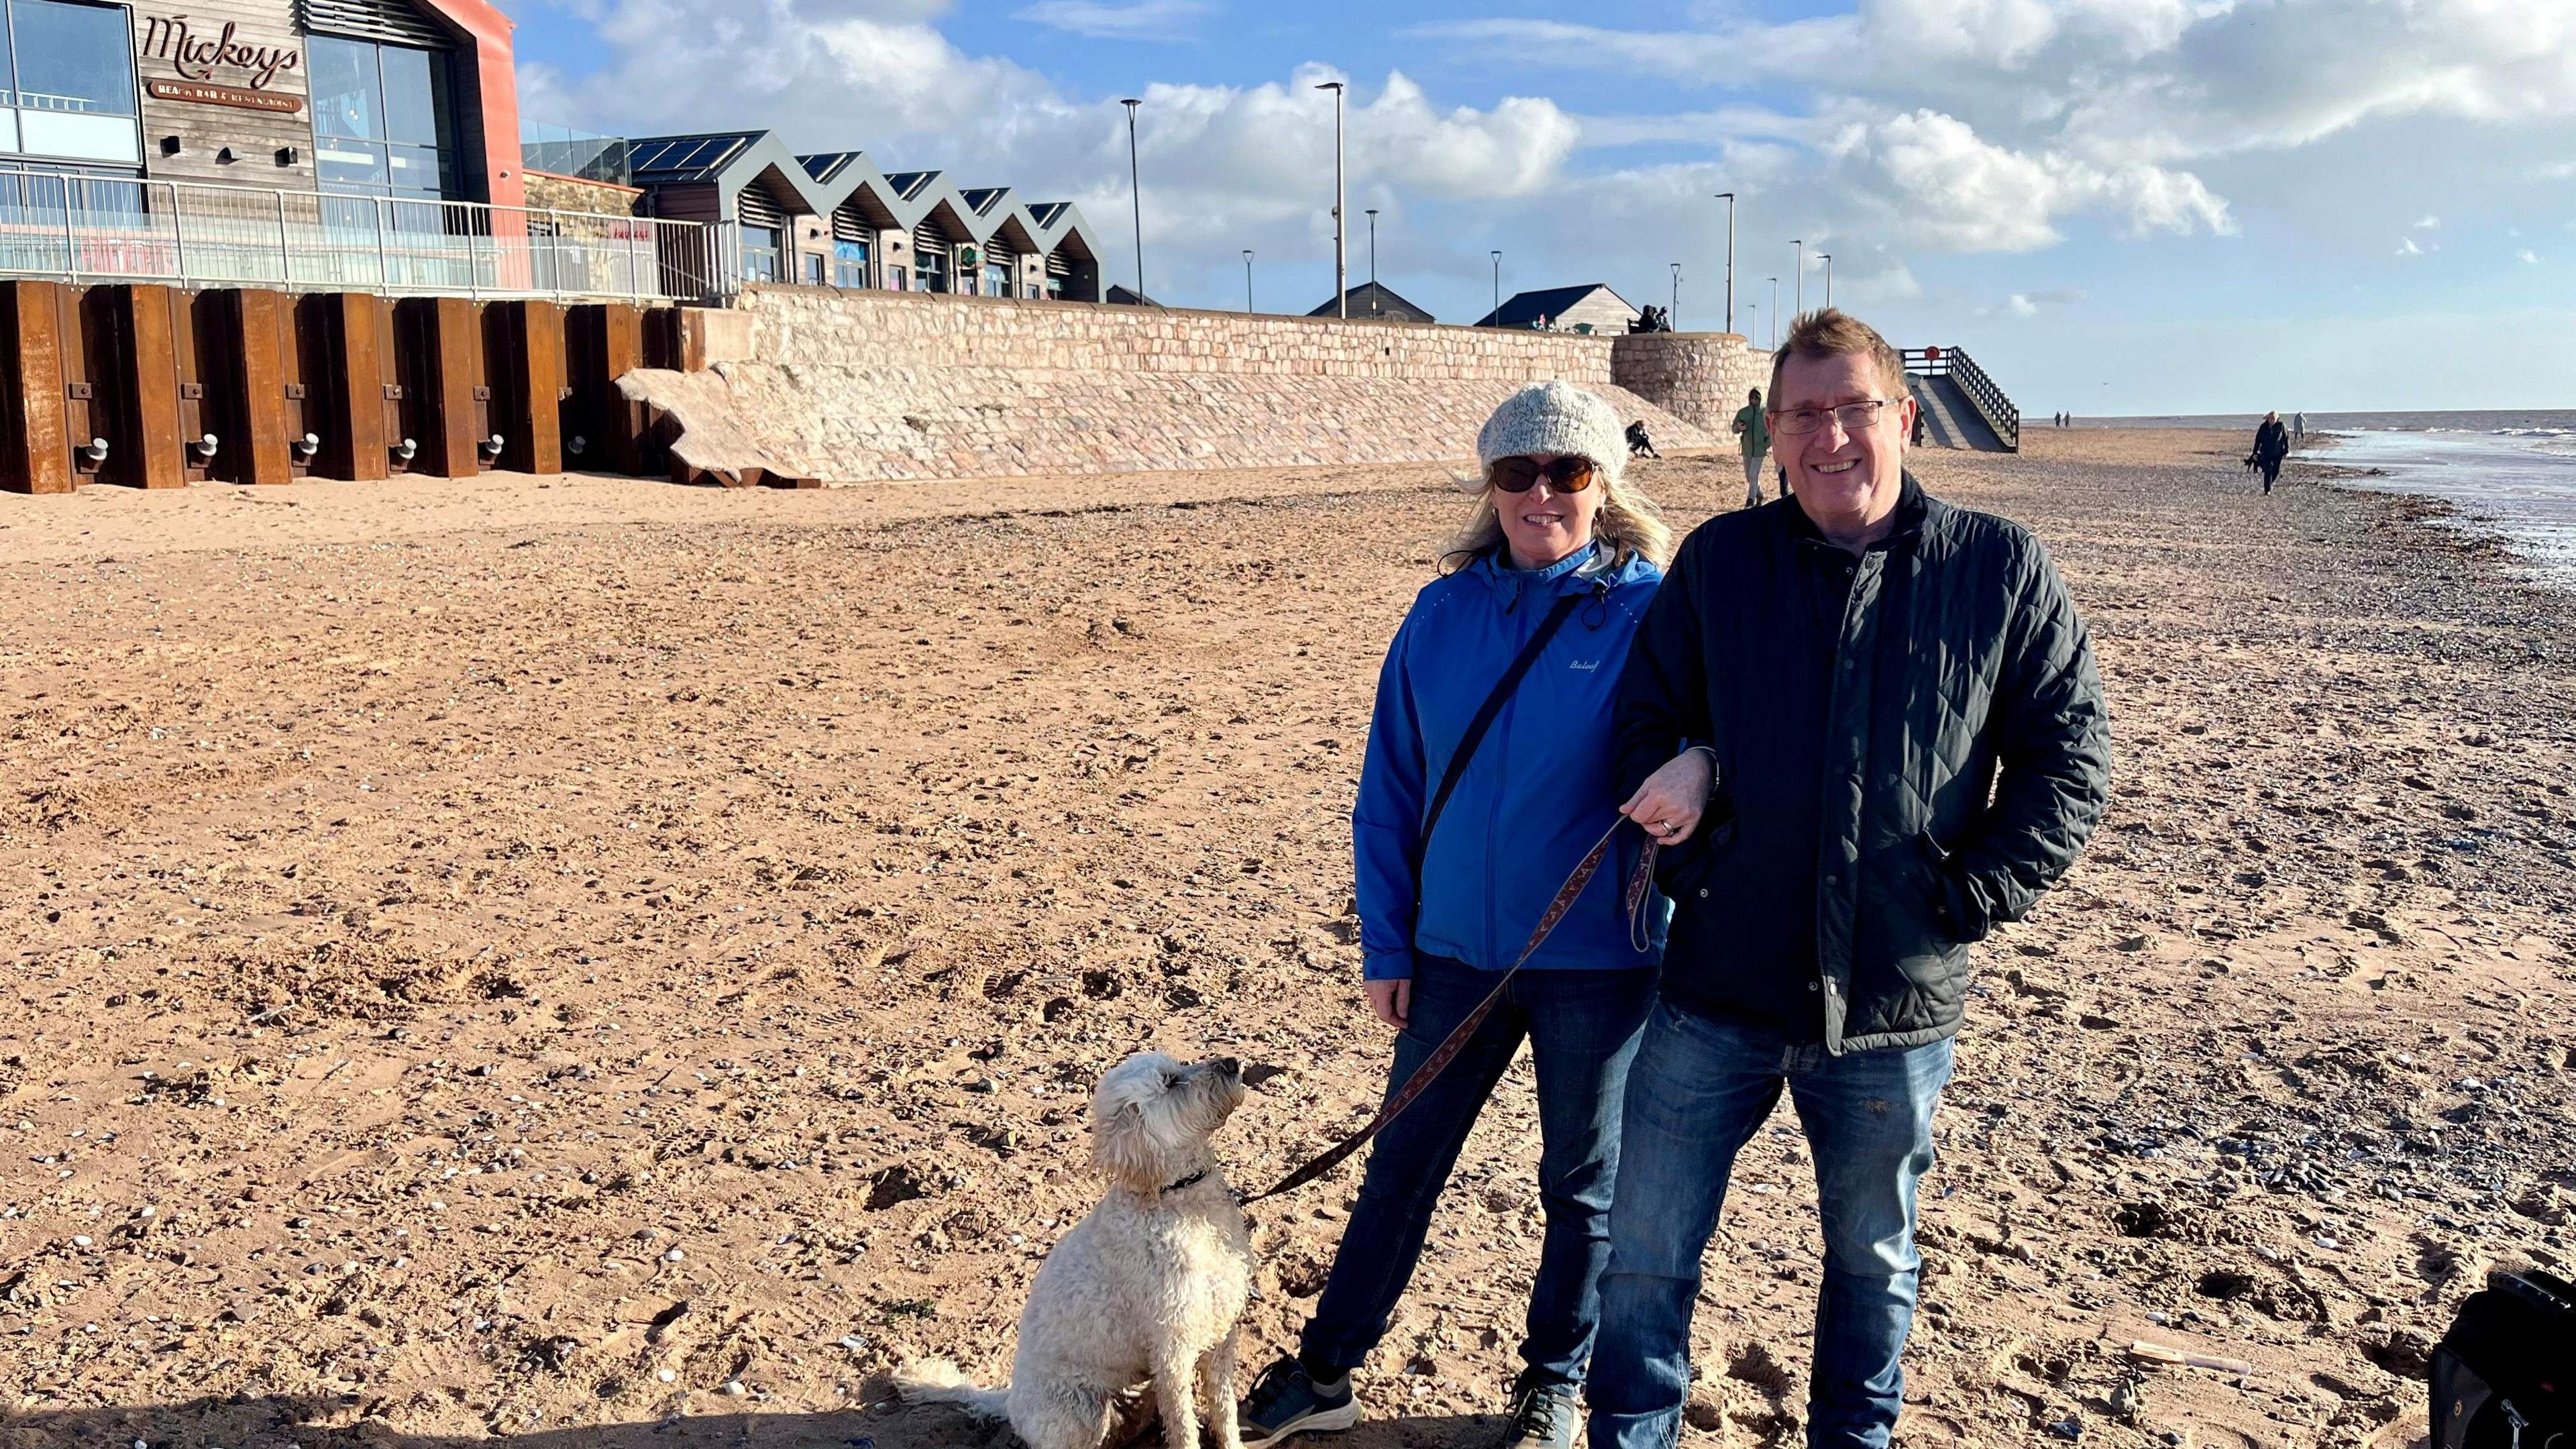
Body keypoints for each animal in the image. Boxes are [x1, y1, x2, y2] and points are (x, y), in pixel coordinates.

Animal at [902, 1046, 1252, 1444]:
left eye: (1178, 1066)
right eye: (1171, 1081)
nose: (1233, 1063)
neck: (1178, 1195)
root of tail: (1010, 1400)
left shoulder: (1222, 1333)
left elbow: (1225, 1409)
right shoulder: (1172, 1350)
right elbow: (1182, 1427)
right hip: (1080, 1411)